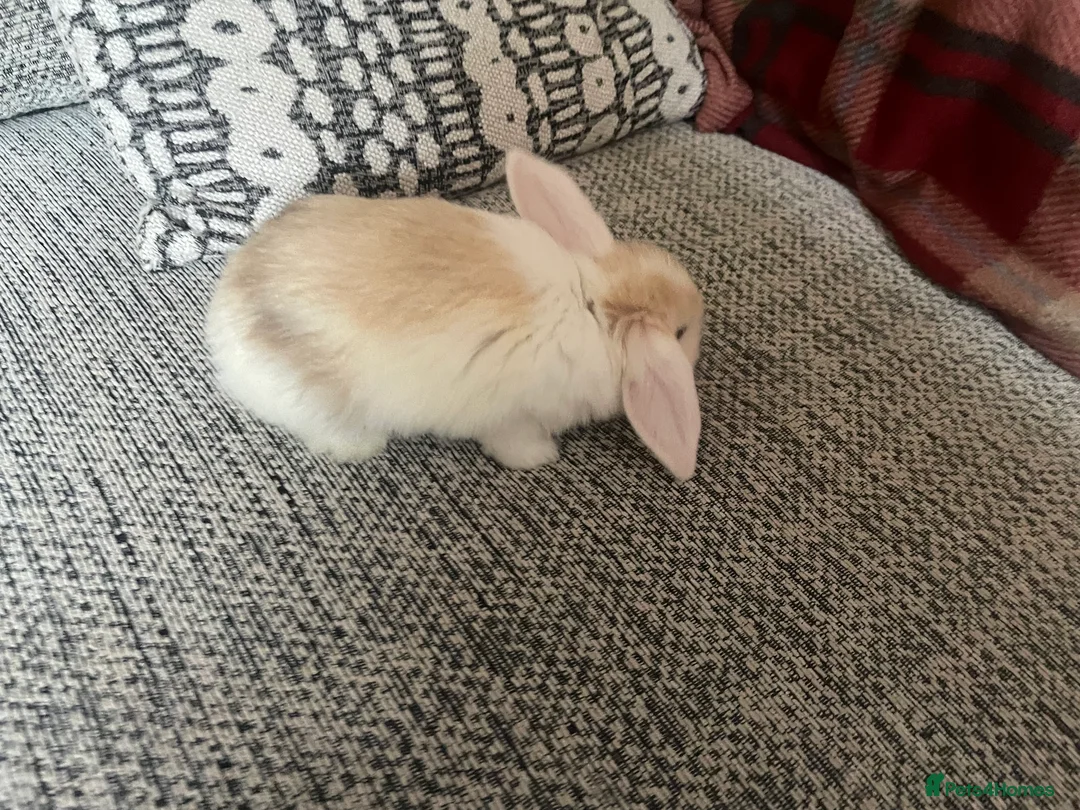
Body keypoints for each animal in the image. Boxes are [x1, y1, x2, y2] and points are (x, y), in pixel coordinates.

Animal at [204, 149, 705, 479]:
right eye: (681, 332)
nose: (699, 320)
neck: (594, 302)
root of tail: (223, 322)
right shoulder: (513, 416)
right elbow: (514, 443)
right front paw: (541, 458)